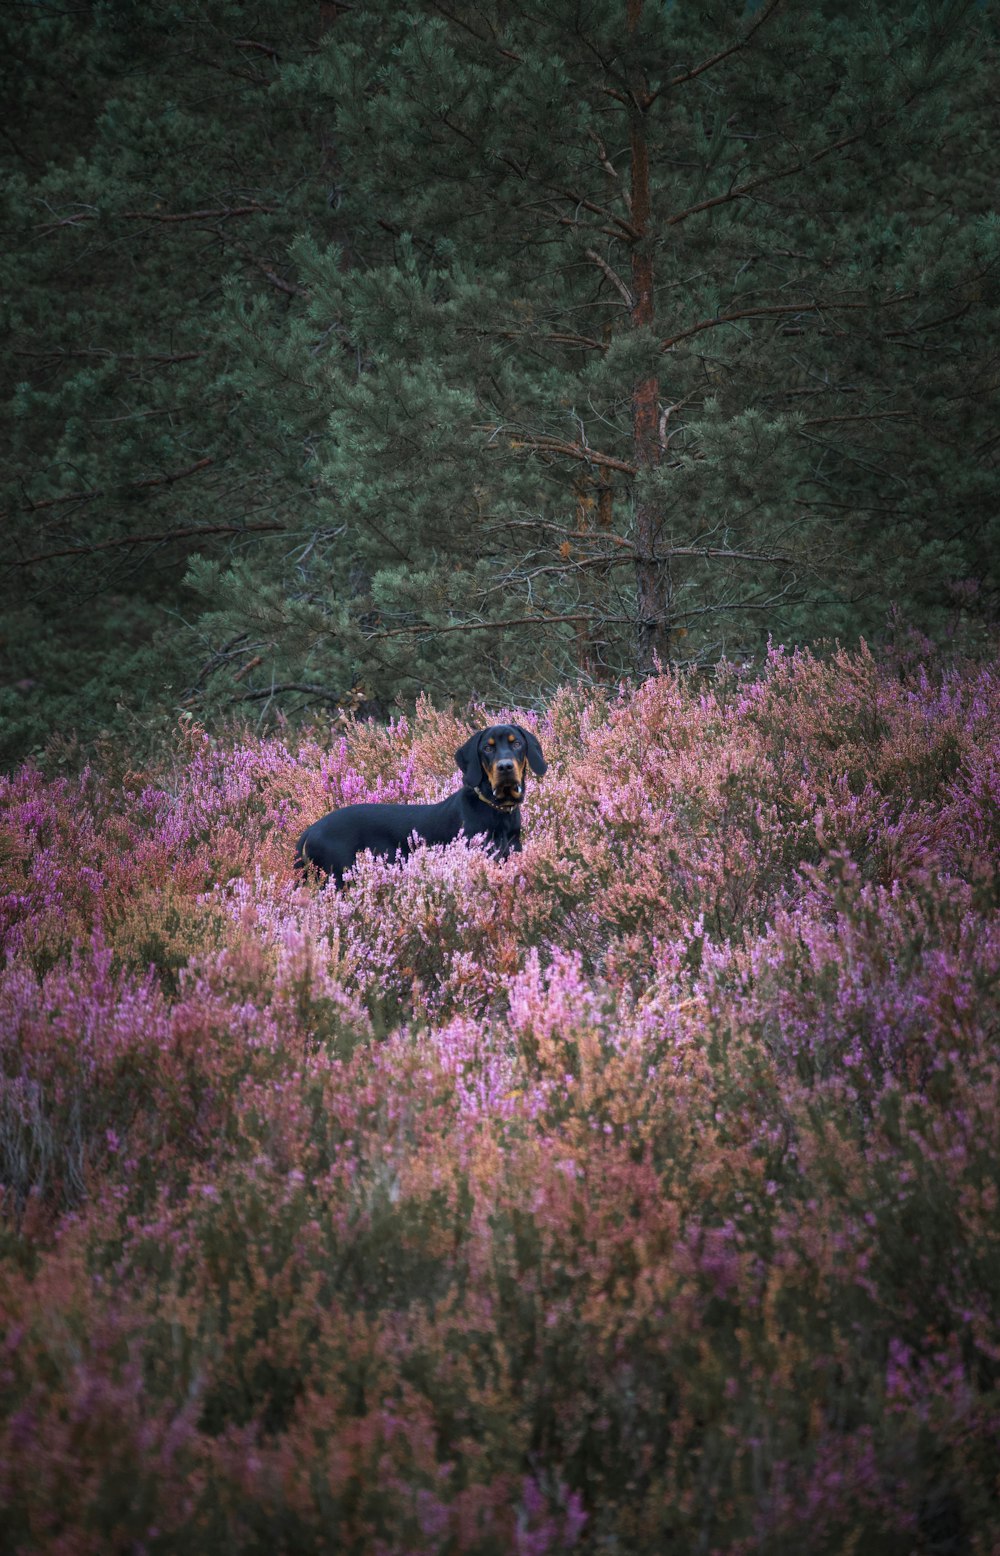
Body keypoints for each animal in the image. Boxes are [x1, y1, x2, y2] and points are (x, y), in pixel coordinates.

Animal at [295, 725, 547, 890]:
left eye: (517, 743)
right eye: (487, 748)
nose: (505, 767)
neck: (497, 811)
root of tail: (310, 830)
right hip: (338, 878)